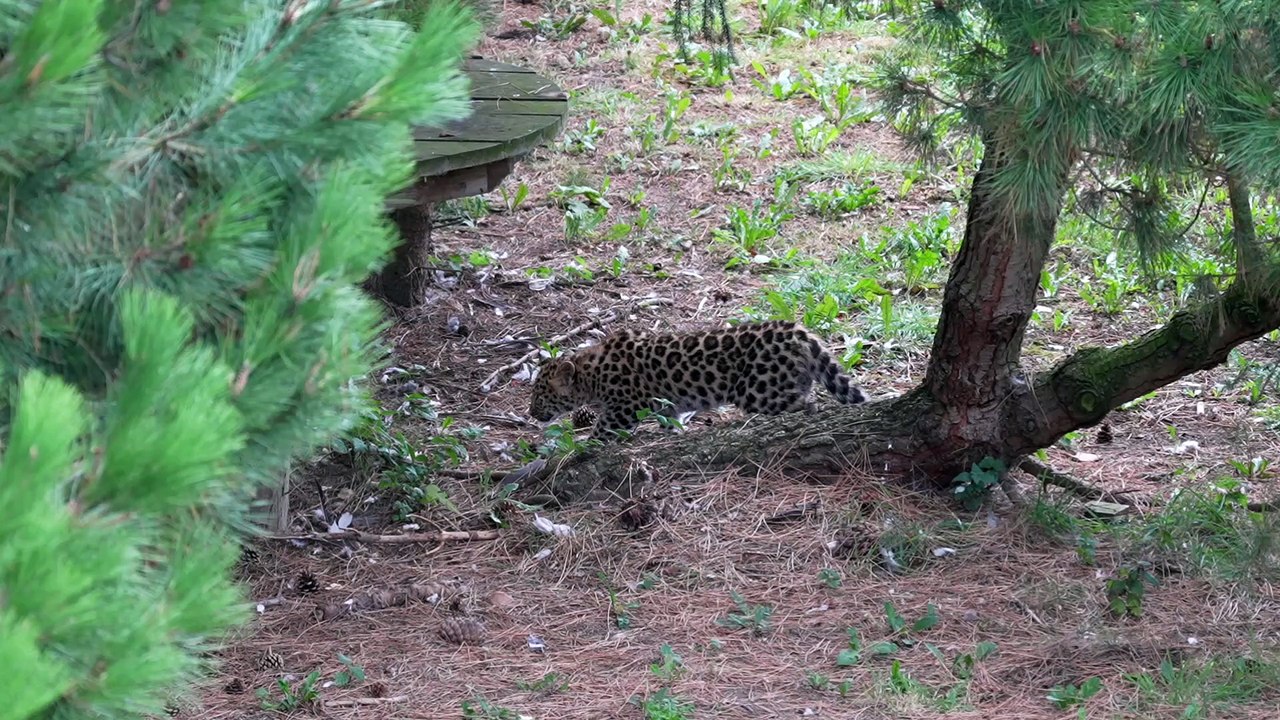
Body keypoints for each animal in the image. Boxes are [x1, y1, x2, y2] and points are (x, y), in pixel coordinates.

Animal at [528, 320, 867, 439]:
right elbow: (670, 420)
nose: (530, 413)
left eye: (540, 394)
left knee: (807, 406)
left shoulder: (623, 408)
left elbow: (602, 430)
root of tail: (797, 331)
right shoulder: (665, 405)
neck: (591, 373)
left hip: (759, 391)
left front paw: (578, 449)